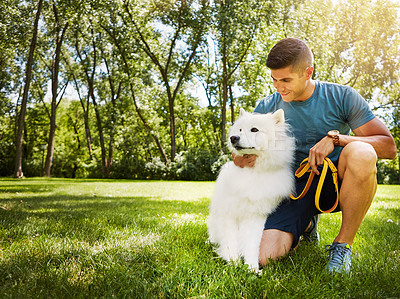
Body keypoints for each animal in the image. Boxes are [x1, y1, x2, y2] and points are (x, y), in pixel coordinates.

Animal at [208, 109, 296, 274]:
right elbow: (231, 241)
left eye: (254, 130)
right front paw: (233, 262)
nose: (233, 138)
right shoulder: (229, 214)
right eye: (239, 130)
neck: (254, 171)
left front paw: (252, 268)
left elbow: (252, 244)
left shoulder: (255, 216)